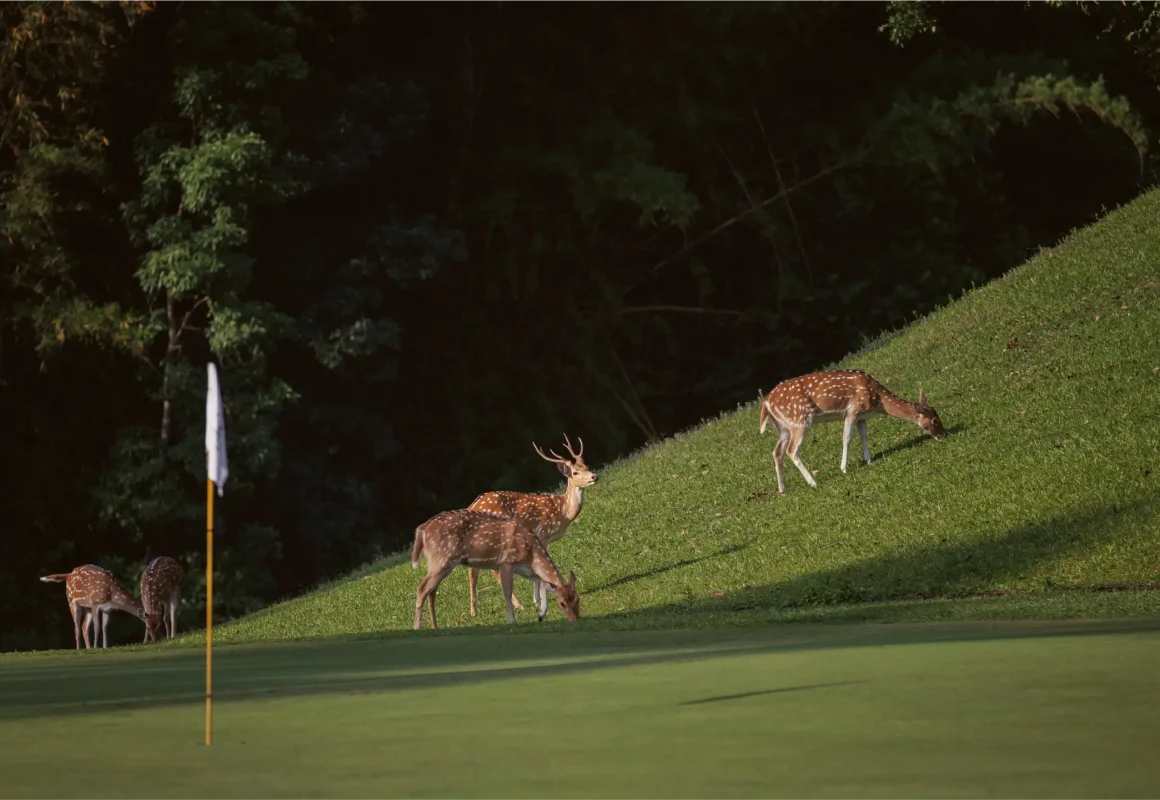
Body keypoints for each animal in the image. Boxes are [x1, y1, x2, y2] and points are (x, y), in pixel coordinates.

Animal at [410, 508, 580, 631]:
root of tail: (422, 529)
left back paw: (434, 626)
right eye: (562, 603)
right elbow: (507, 592)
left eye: (577, 599)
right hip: (443, 558)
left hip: (436, 562)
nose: (575, 620)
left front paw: (541, 614)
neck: (532, 553)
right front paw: (513, 620)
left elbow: (543, 584)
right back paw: (417, 627)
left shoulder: (525, 570)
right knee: (422, 588)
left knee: (431, 592)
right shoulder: (506, 563)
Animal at [465, 434, 597, 621]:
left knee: (473, 570)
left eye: (586, 466)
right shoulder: (542, 533)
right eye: (575, 472)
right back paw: (518, 605)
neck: (563, 512)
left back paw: (474, 612)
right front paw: (537, 600)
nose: (594, 476)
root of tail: (472, 506)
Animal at [759, 368, 946, 494]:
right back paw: (813, 482)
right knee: (791, 450)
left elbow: (864, 435)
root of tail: (766, 403)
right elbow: (847, 437)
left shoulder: (862, 416)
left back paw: (782, 489)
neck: (878, 400)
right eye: (935, 420)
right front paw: (843, 468)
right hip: (800, 419)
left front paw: (868, 460)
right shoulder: (852, 410)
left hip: (783, 427)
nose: (943, 434)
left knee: (776, 452)